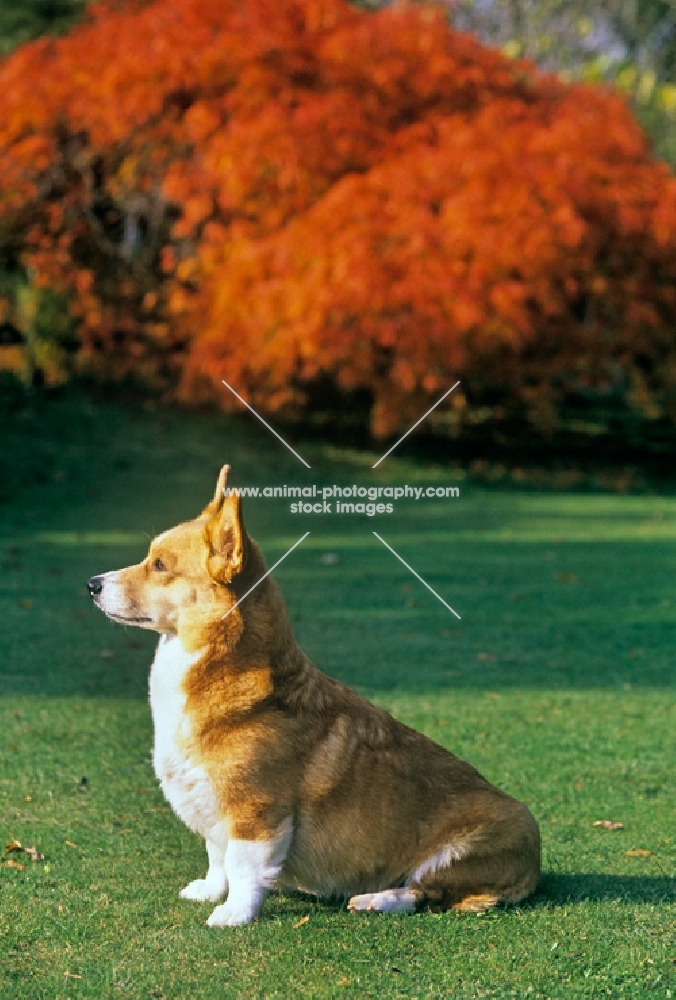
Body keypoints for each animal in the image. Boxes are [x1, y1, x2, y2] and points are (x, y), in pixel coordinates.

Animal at [87, 464, 540, 924]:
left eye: (160, 565)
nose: (92, 584)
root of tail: (535, 865)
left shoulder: (256, 815)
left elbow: (242, 867)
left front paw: (234, 914)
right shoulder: (214, 809)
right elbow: (217, 857)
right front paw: (210, 892)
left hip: (460, 851)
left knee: (423, 893)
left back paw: (376, 899)